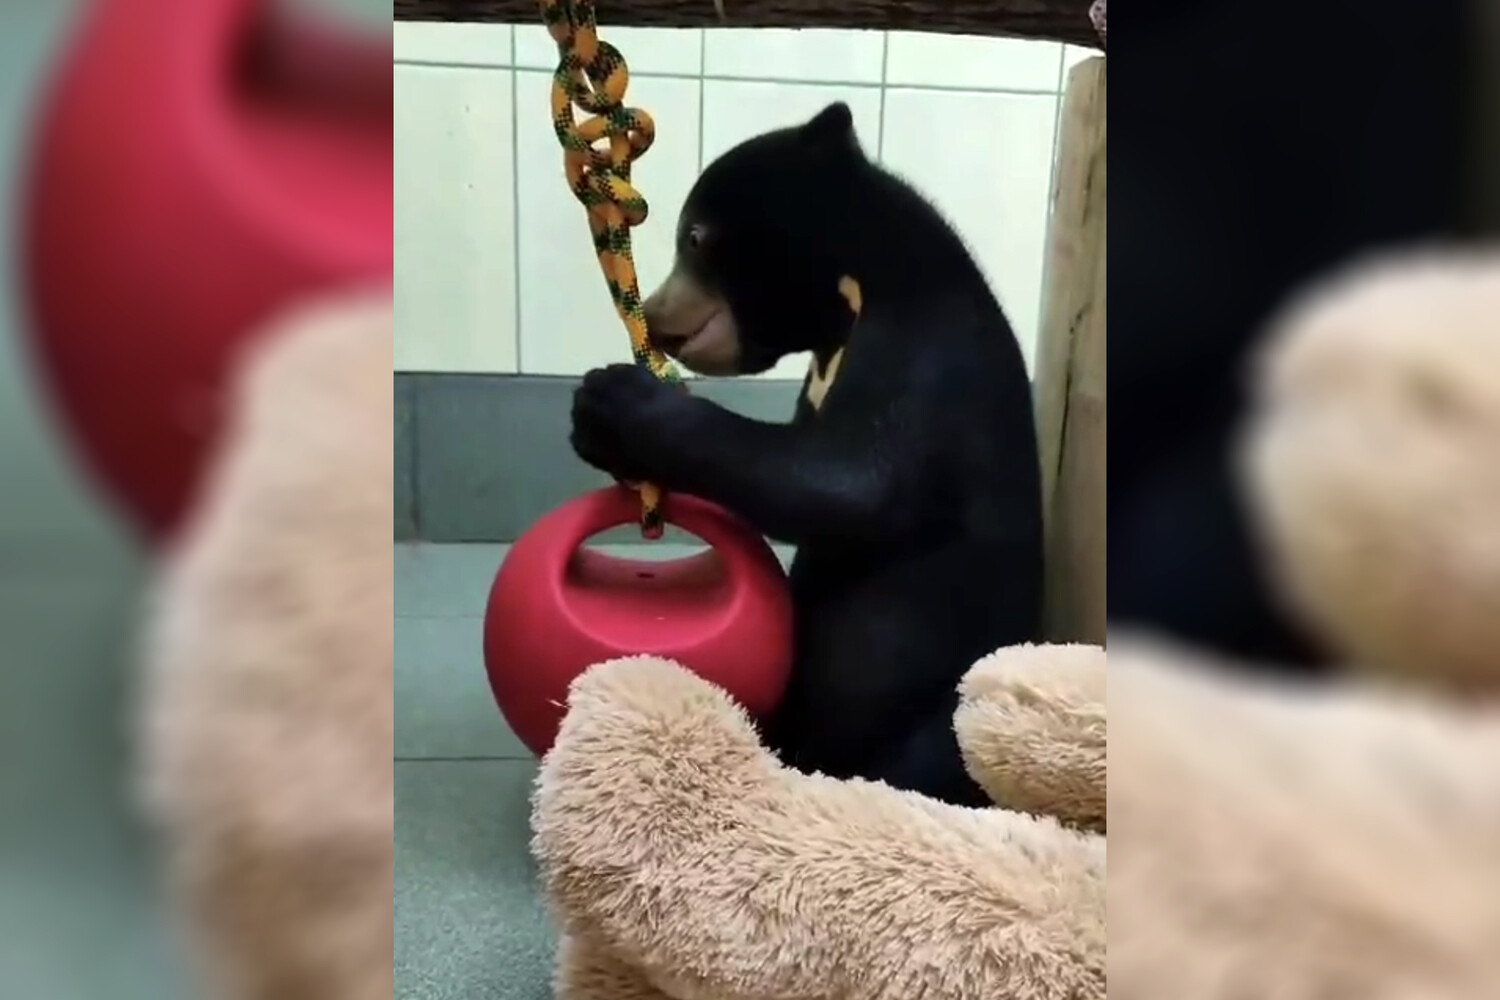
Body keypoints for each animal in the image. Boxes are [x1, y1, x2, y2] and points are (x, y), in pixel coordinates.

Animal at [567, 101, 1044, 807]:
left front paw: (612, 404)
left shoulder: (924, 354)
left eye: (694, 237)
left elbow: (846, 484)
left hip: (946, 713)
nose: (652, 314)